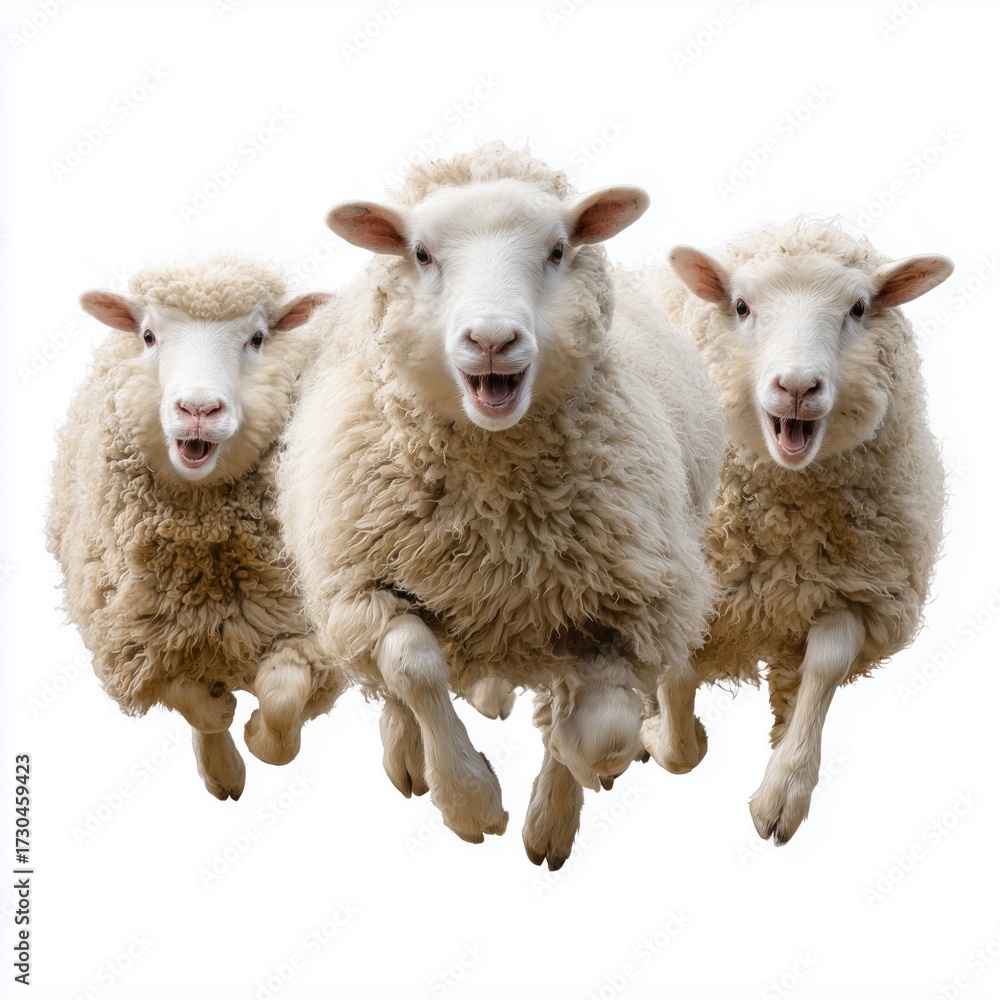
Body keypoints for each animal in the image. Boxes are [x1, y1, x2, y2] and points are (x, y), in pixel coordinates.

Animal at [46, 253, 345, 800]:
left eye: (257, 337)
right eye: (148, 335)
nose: (199, 410)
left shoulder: (307, 634)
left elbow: (283, 699)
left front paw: (260, 735)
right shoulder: (140, 644)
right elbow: (195, 704)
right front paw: (223, 742)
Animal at [278, 143, 724, 863]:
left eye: (559, 249)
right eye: (421, 252)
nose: (491, 340)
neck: (495, 511)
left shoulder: (624, 603)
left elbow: (596, 729)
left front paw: (568, 784)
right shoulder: (359, 580)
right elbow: (412, 667)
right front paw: (469, 799)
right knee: (388, 678)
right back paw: (409, 757)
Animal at [645, 218, 952, 844]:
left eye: (858, 308)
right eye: (741, 305)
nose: (797, 387)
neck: (781, 528)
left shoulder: (852, 585)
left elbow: (825, 666)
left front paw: (785, 786)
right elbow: (682, 736)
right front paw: (661, 735)